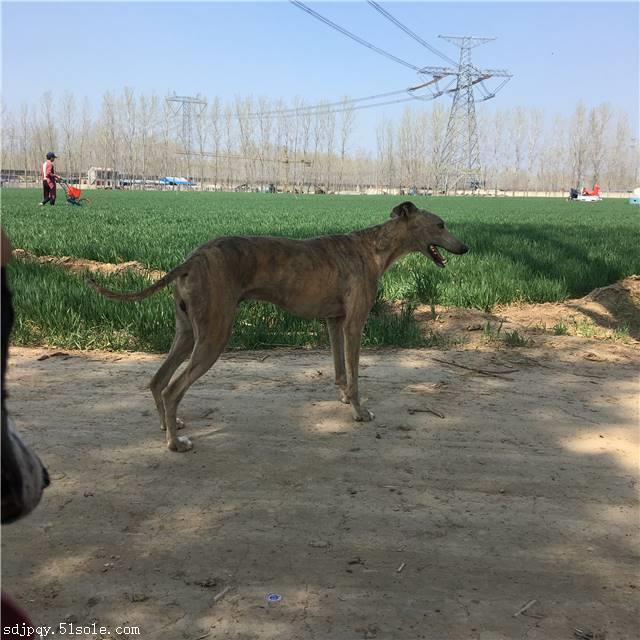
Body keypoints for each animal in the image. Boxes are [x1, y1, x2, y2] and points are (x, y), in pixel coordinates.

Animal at [87, 202, 468, 452]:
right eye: (440, 224)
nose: (465, 247)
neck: (373, 247)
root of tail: (192, 258)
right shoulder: (354, 325)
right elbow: (356, 376)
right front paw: (359, 411)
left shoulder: (334, 322)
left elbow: (340, 372)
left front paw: (344, 399)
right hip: (213, 336)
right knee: (171, 388)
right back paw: (174, 443)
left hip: (188, 332)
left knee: (157, 380)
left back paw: (170, 424)